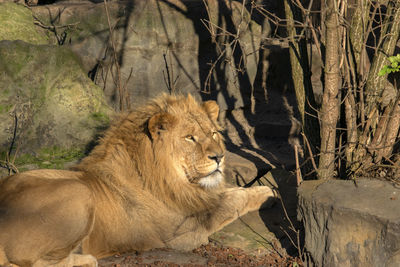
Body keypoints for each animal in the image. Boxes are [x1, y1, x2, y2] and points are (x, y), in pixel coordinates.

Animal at [0, 93, 276, 266]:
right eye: (190, 138)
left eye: (214, 134)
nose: (219, 157)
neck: (175, 181)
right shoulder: (182, 235)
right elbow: (231, 202)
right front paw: (267, 193)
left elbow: (229, 193)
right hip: (78, 191)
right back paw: (86, 260)